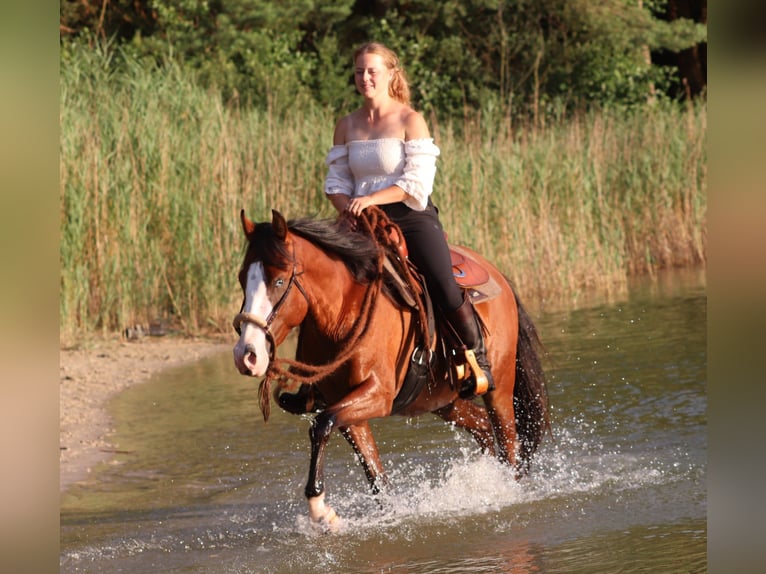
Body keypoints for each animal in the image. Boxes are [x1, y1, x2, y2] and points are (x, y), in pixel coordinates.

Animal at [232, 208, 550, 530]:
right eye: (242, 278)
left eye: (279, 281)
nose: (246, 355)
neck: (342, 315)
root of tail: (498, 276)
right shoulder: (348, 409)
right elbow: (373, 474)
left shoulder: (377, 394)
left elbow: (321, 426)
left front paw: (320, 509)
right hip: (442, 401)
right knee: (483, 427)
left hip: (499, 389)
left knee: (509, 445)